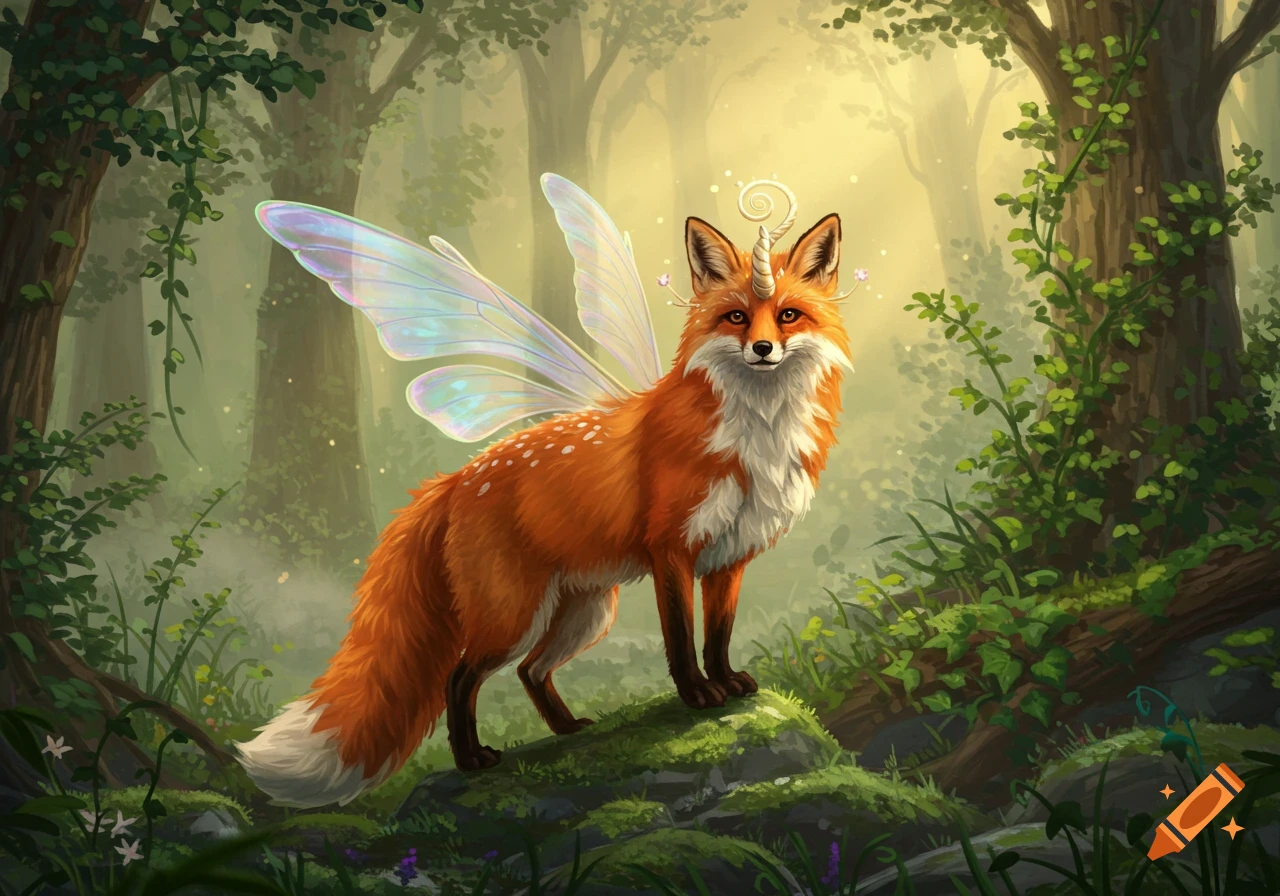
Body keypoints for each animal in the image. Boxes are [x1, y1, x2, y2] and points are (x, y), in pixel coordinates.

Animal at [235, 196, 852, 808]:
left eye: (789, 315)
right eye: (737, 318)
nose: (764, 349)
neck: (757, 432)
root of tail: (453, 480)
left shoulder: (729, 557)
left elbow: (717, 635)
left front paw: (726, 683)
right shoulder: (671, 550)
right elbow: (680, 639)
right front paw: (698, 695)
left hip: (584, 612)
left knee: (530, 672)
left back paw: (567, 729)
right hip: (513, 616)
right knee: (460, 677)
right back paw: (472, 760)